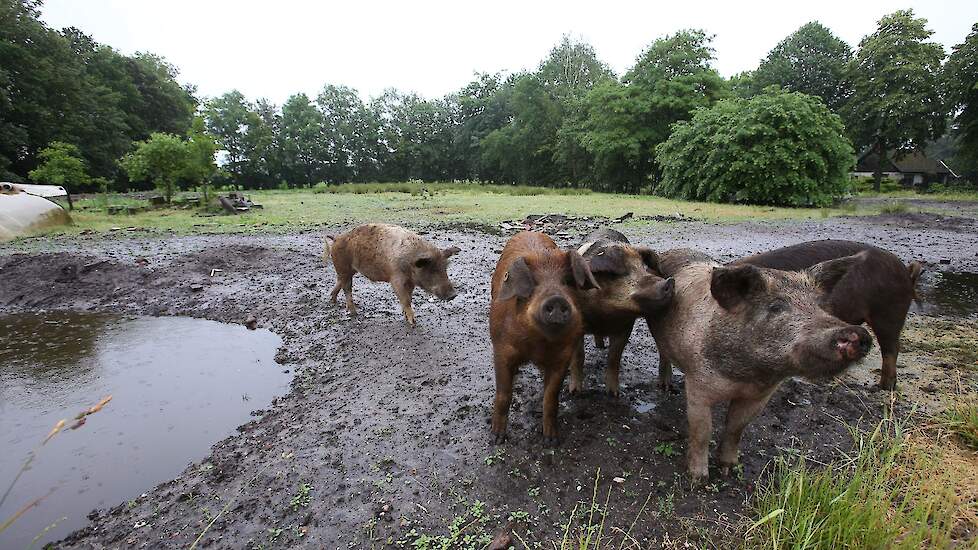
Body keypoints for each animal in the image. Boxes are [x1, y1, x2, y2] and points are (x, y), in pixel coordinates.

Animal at [320, 224, 458, 328]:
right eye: (432, 270)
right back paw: (354, 313)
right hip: (343, 267)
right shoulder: (396, 278)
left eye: (445, 268)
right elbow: (405, 299)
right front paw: (413, 322)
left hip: (347, 270)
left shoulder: (410, 282)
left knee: (339, 283)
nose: (453, 295)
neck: (410, 262)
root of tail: (336, 238)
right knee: (347, 289)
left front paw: (405, 316)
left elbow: (409, 297)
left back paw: (333, 301)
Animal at [492, 231, 600, 446]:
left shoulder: (562, 357)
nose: (556, 299)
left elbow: (551, 398)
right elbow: (503, 395)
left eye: (568, 281)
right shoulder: (500, 349)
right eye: (533, 283)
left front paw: (551, 441)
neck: (537, 344)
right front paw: (496, 439)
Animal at [568, 229, 676, 396]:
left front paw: (613, 394)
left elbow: (614, 358)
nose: (670, 281)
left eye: (643, 267)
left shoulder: (625, 327)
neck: (603, 313)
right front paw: (574, 392)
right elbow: (579, 357)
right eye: (624, 272)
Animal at [648, 250, 868, 484]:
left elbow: (736, 427)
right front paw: (698, 480)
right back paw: (666, 387)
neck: (745, 375)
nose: (859, 333)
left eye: (820, 305)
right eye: (776, 307)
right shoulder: (698, 385)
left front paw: (728, 469)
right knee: (663, 354)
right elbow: (702, 432)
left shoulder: (760, 396)